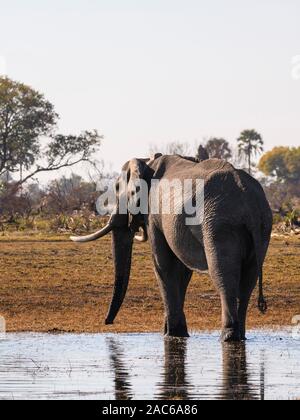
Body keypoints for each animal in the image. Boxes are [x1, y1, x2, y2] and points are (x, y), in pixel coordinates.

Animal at [71, 154, 274, 342]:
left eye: (116, 189)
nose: (108, 322)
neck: (147, 162)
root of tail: (248, 200)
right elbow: (181, 271)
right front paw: (175, 332)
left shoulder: (154, 215)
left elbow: (164, 265)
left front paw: (172, 334)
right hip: (263, 226)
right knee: (248, 279)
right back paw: (240, 336)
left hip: (219, 224)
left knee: (223, 274)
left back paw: (228, 336)